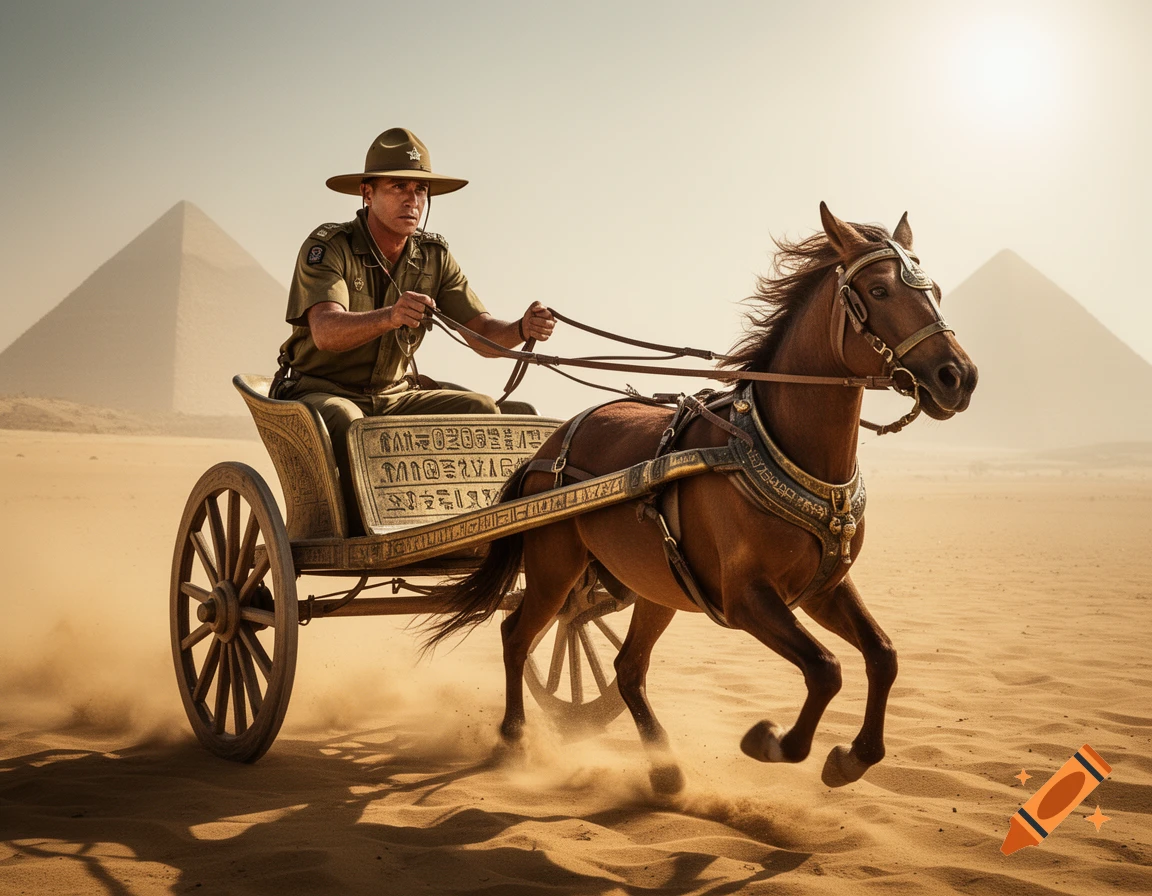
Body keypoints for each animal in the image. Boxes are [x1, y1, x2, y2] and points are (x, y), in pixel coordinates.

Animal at [423, 202, 978, 793]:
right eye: (878, 290)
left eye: (934, 290)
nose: (959, 377)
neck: (779, 448)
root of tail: (546, 449)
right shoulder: (746, 599)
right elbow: (825, 669)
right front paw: (772, 741)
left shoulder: (824, 587)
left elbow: (884, 655)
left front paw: (853, 756)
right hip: (556, 567)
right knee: (517, 635)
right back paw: (513, 737)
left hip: (654, 584)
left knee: (626, 669)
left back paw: (665, 769)